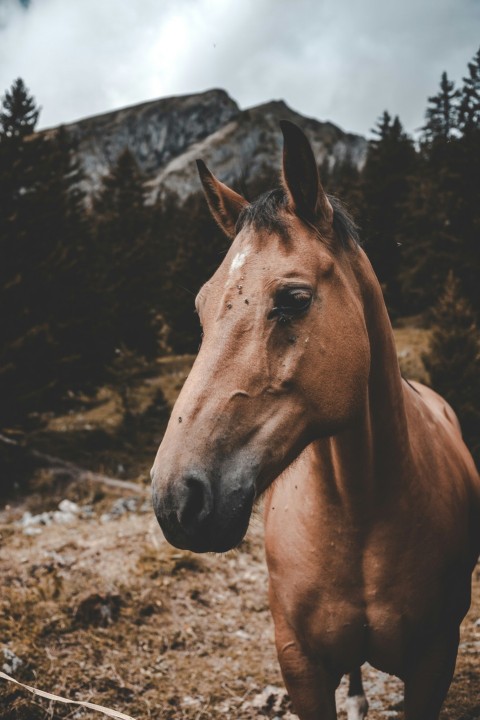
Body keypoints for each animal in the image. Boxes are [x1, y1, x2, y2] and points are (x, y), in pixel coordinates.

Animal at [151, 120, 480, 719]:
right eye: (201, 308)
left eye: (295, 299)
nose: (176, 499)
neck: (361, 511)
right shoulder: (300, 664)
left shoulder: (435, 660)